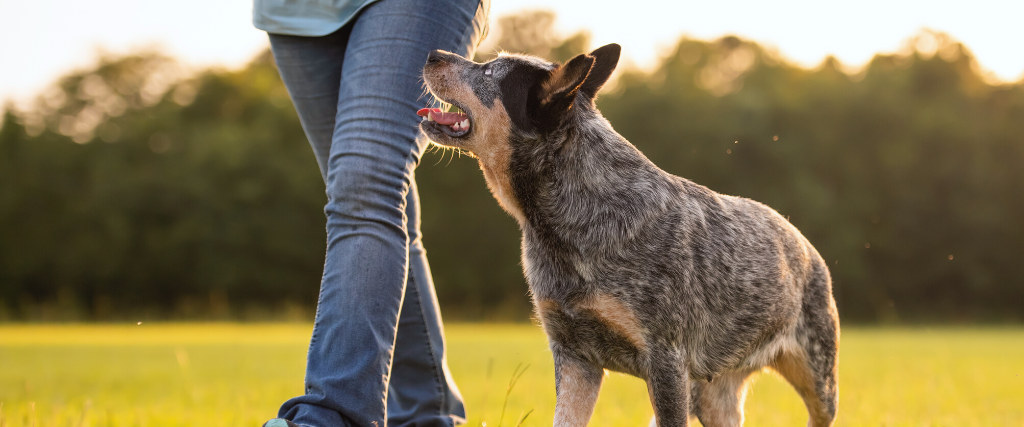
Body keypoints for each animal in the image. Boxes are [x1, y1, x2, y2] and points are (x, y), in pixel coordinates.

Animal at [415, 43, 839, 425]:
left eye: (489, 71)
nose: (433, 53)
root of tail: (801, 240)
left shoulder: (666, 362)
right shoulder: (574, 358)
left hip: (819, 381)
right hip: (711, 394)